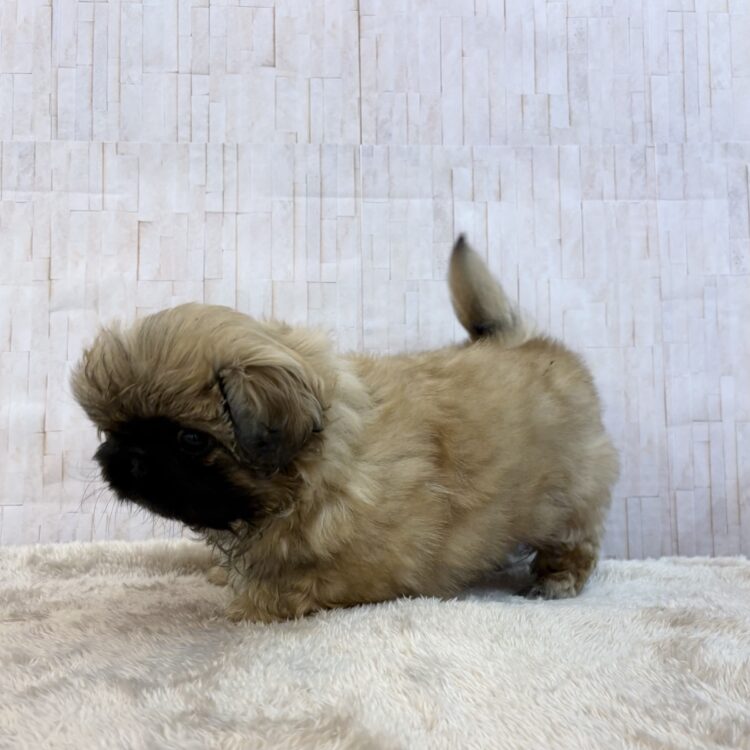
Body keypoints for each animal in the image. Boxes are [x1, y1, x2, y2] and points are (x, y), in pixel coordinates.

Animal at [71, 237, 619, 622]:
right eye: (110, 431)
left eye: (190, 440)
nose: (124, 458)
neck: (317, 469)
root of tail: (524, 341)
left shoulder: (366, 571)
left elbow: (296, 586)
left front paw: (251, 604)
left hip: (569, 500)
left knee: (577, 542)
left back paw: (556, 579)